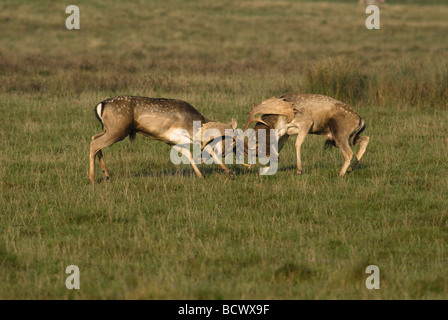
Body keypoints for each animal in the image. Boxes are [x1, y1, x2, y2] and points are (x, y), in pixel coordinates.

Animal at [91, 95, 238, 184]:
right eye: (232, 142)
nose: (225, 154)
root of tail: (100, 105)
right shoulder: (190, 132)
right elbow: (207, 148)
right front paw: (230, 172)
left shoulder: (171, 140)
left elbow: (188, 154)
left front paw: (201, 175)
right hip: (118, 129)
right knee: (95, 144)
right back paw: (92, 179)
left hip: (109, 129)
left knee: (94, 138)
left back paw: (106, 175)